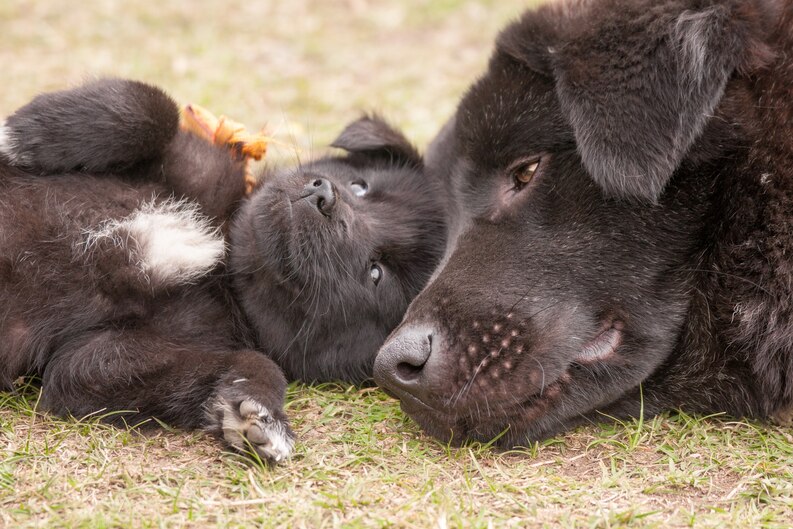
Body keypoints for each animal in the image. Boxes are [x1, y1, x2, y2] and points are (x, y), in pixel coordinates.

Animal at [0, 77, 446, 458]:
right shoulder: (196, 163)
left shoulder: (97, 357)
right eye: (360, 186)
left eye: (376, 272)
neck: (223, 261)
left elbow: (253, 361)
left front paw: (258, 412)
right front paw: (19, 135)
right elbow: (151, 105)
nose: (325, 197)